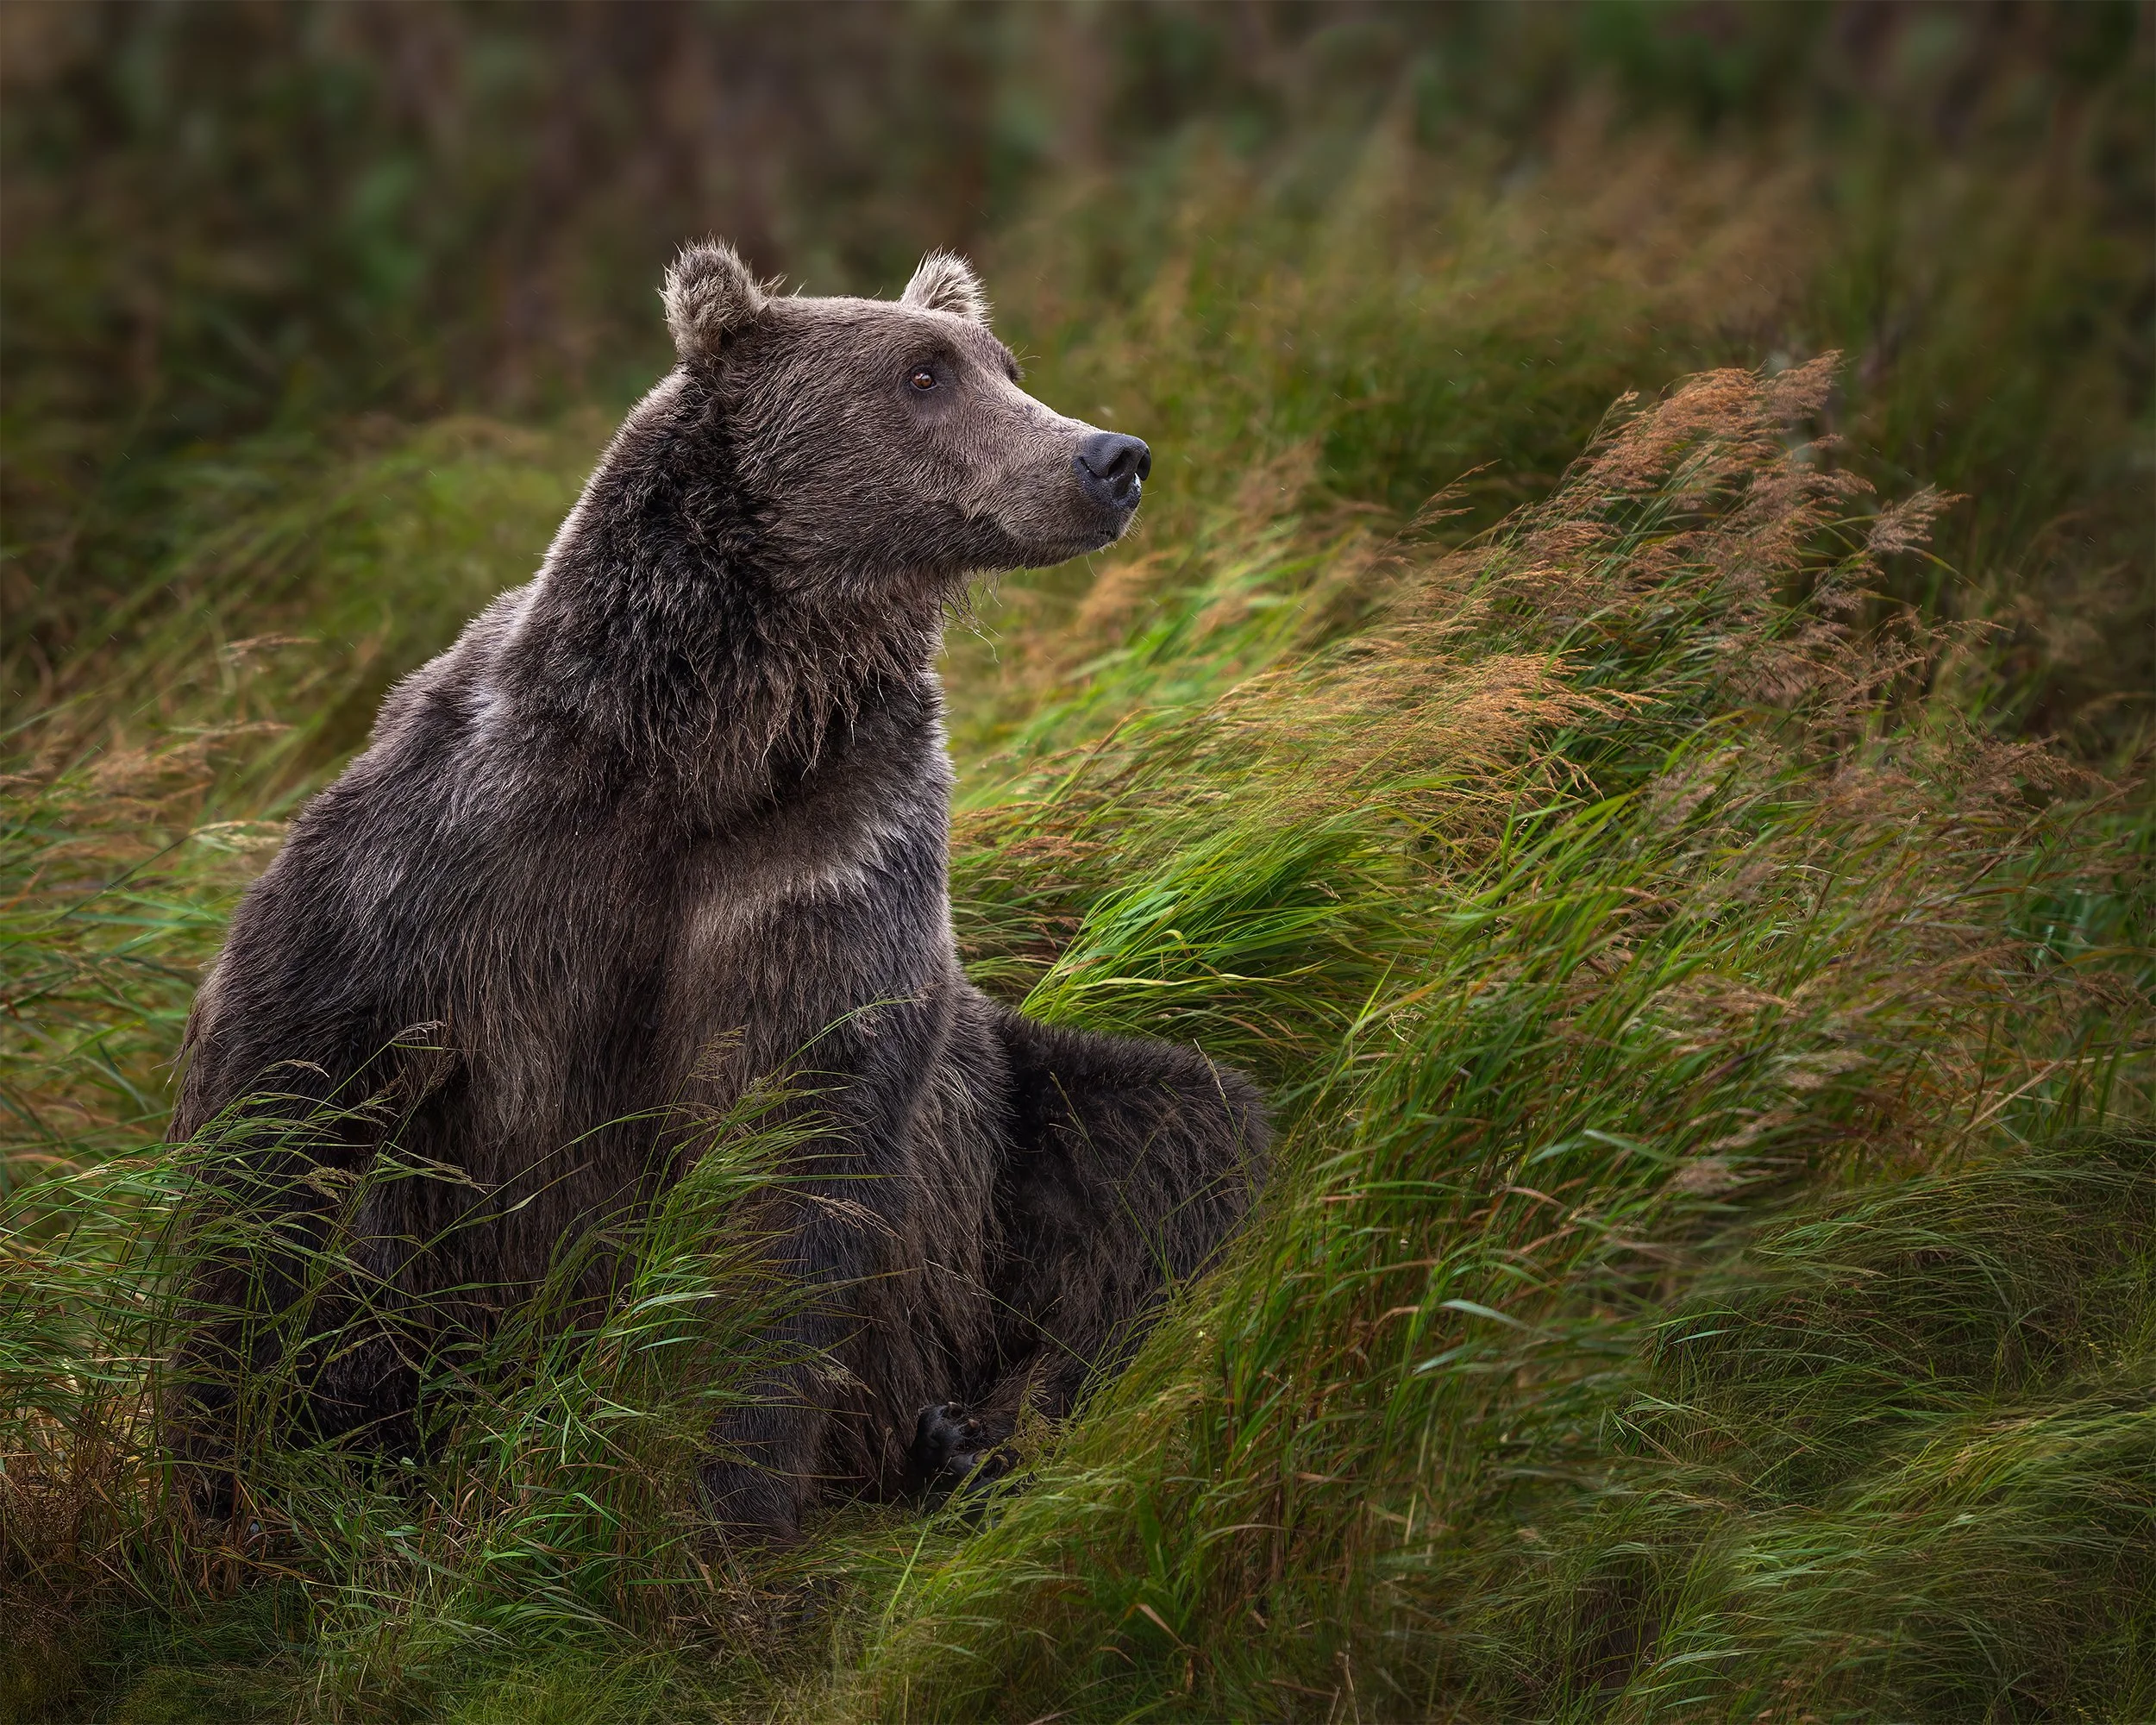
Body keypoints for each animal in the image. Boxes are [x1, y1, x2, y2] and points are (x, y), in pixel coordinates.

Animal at [166, 241, 1267, 1541]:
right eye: (923, 373)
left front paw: (712, 1496)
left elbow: (784, 1167)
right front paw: (222, 1453)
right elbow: (284, 1062)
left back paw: (975, 1434)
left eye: (1006, 364)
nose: (1110, 456)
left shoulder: (825, 866)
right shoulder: (462, 831)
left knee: (1180, 1131)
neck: (704, 745)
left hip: (1009, 1132)